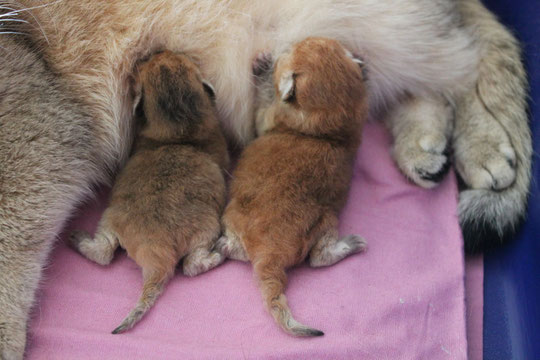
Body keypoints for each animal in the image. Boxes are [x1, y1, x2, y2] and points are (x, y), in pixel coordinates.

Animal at [68, 50, 229, 334]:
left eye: (174, 59)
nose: (157, 51)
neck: (179, 132)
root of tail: (157, 258)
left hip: (111, 218)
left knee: (105, 252)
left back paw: (78, 239)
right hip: (206, 229)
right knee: (191, 265)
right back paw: (219, 253)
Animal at [217, 38, 370, 336]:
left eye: (291, 51)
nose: (288, 42)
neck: (327, 127)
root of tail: (269, 257)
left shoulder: (268, 119)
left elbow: (260, 111)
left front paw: (261, 65)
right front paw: (363, 64)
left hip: (319, 222)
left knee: (319, 258)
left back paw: (350, 244)